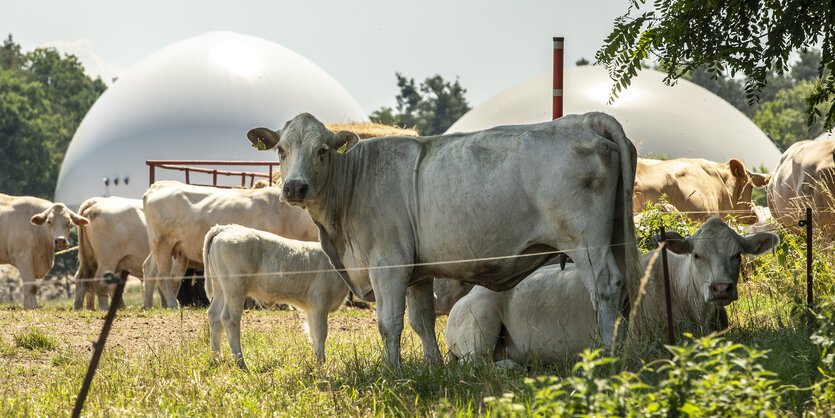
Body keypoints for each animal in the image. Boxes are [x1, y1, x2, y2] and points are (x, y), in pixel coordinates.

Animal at [144, 181, 320, 308]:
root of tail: (157, 186)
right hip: (162, 244)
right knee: (162, 275)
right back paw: (172, 303)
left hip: (165, 248)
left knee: (150, 269)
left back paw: (149, 304)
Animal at [204, 225, 348, 370]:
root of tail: (225, 228)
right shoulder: (320, 301)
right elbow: (320, 333)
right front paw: (321, 365)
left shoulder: (310, 307)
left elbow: (312, 332)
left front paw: (316, 361)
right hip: (235, 288)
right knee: (230, 319)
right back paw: (241, 364)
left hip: (220, 289)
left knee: (214, 316)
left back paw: (216, 359)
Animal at [247, 111, 640, 366]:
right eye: (281, 150)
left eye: (322, 150)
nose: (295, 187)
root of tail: (586, 119)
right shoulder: (418, 273)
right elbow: (422, 321)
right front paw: (433, 367)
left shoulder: (388, 265)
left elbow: (389, 324)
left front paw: (393, 372)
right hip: (617, 234)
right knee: (625, 287)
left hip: (585, 240)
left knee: (606, 286)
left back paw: (605, 354)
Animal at [448, 217, 780, 368]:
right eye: (697, 255)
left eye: (737, 255)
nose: (721, 287)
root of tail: (460, 302)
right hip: (479, 325)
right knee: (475, 364)